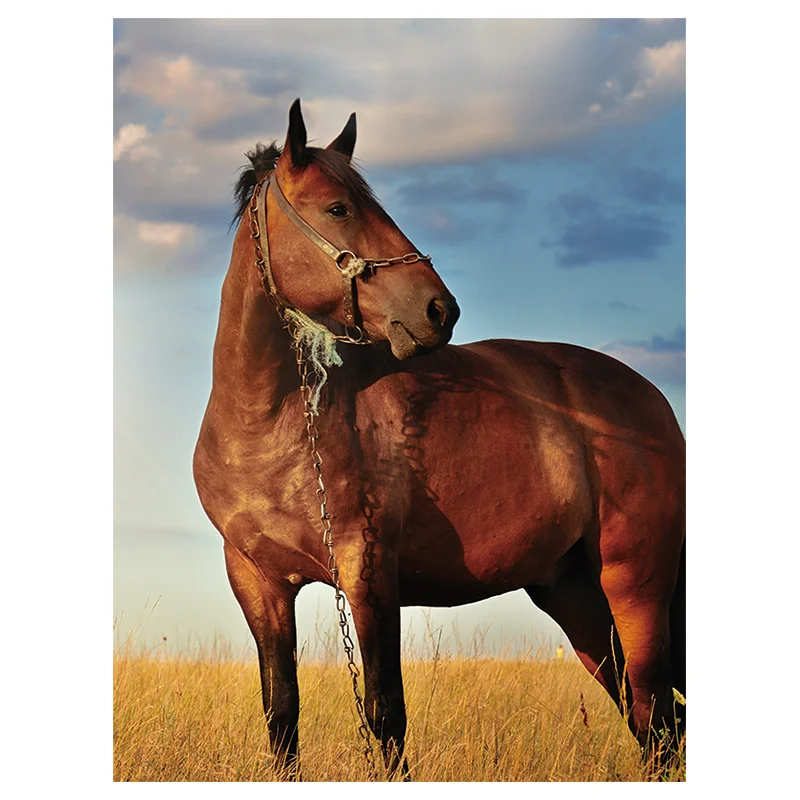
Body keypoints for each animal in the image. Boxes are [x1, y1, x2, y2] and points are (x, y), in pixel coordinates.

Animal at [193, 99, 686, 779]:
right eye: (338, 208)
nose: (438, 310)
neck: (269, 425)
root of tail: (652, 400)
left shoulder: (370, 573)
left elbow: (385, 718)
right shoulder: (257, 583)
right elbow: (282, 719)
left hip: (635, 586)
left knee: (657, 720)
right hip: (575, 598)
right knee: (649, 722)